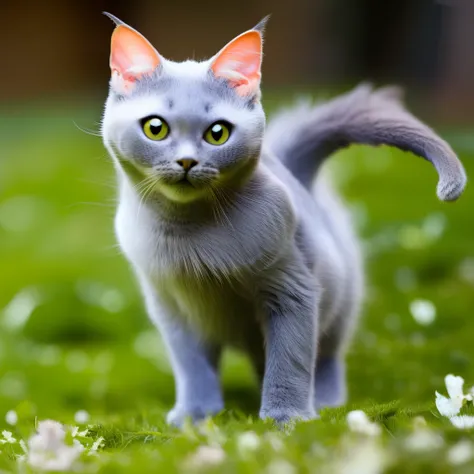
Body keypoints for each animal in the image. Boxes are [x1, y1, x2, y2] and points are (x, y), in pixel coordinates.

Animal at [101, 12, 466, 426]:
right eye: (156, 127)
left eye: (217, 133)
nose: (187, 161)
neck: (189, 236)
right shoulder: (170, 306)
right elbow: (192, 366)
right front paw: (195, 416)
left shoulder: (292, 291)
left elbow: (289, 361)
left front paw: (285, 419)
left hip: (339, 305)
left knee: (324, 359)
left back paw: (326, 403)